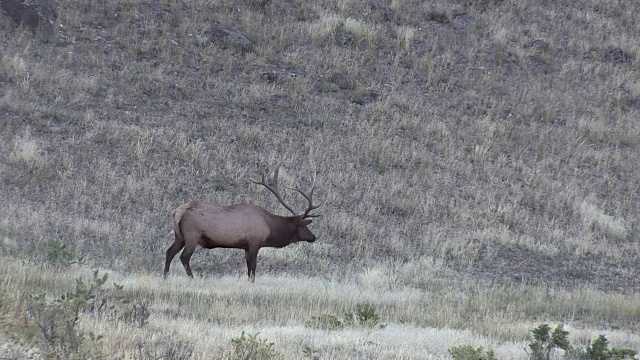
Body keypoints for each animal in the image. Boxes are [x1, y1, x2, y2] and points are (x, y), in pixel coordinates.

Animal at [164, 166, 320, 282]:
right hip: (192, 235)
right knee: (184, 257)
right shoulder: (254, 242)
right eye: (305, 225)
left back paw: (165, 277)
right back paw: (192, 278)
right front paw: (252, 283)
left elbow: (248, 268)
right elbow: (253, 267)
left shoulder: (245, 246)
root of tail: (177, 212)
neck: (269, 227)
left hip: (179, 236)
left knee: (169, 252)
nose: (313, 237)